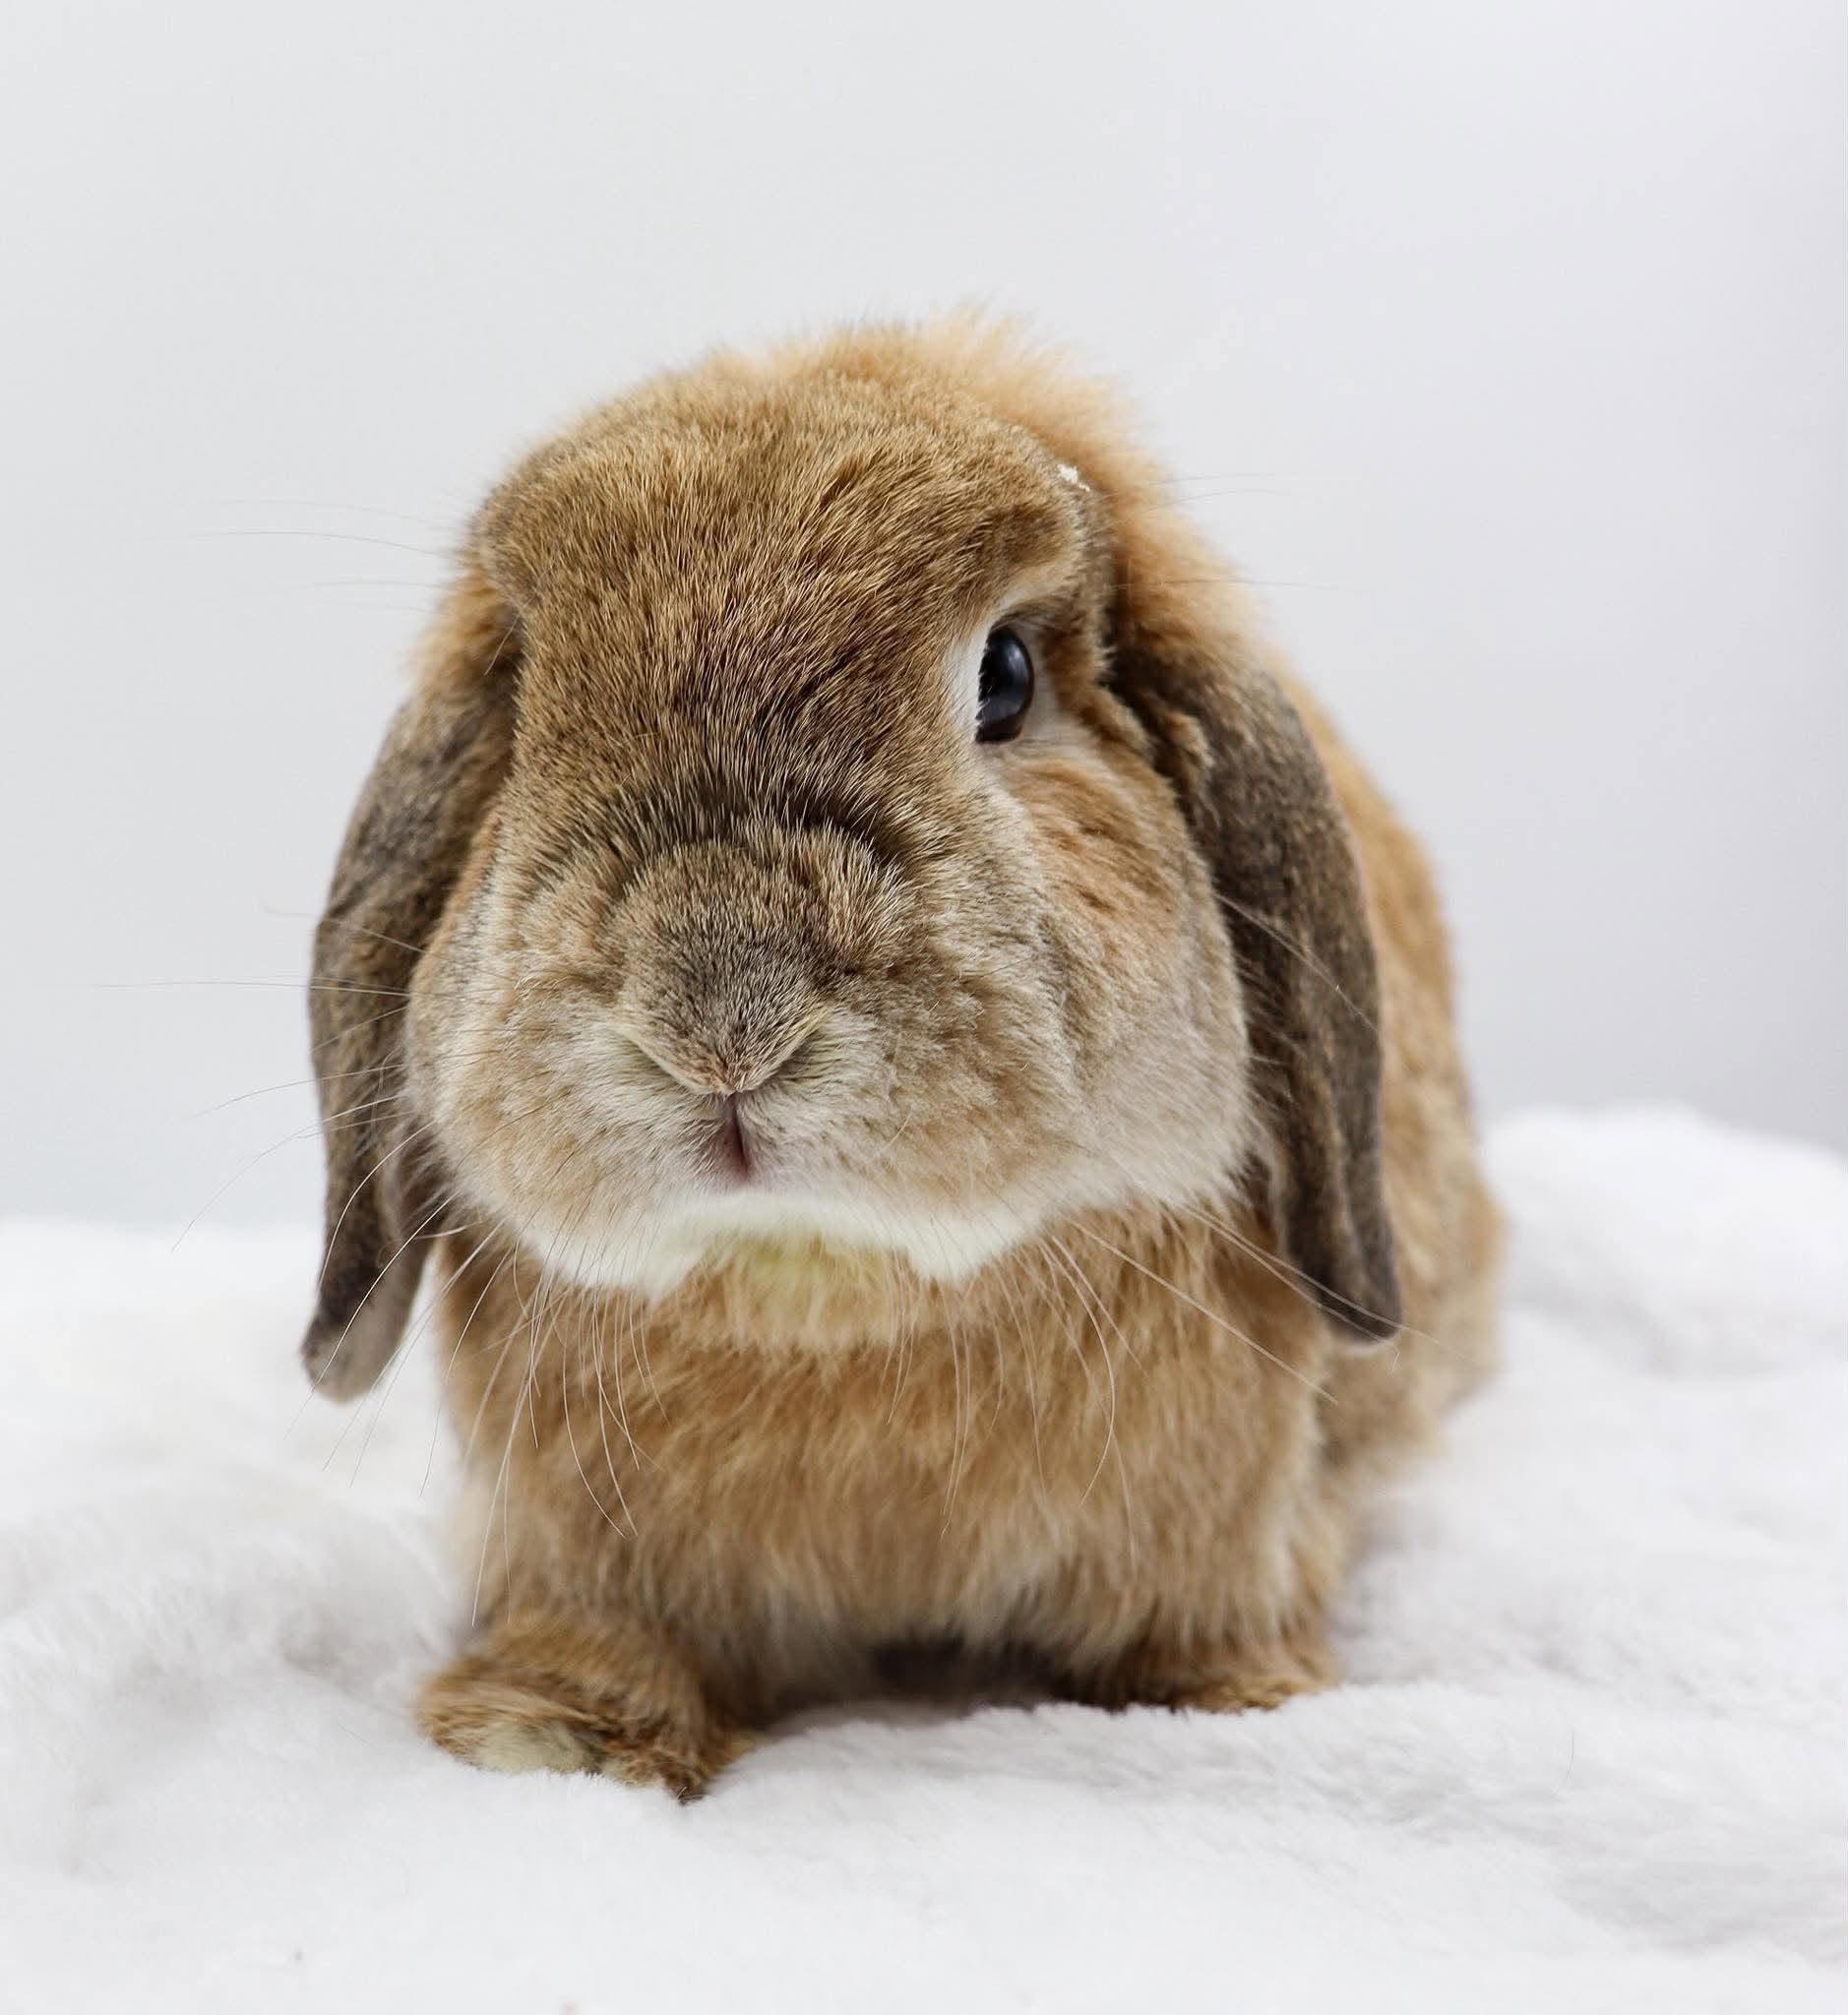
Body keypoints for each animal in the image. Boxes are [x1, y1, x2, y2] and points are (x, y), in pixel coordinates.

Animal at [300, 319, 1502, 1796]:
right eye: (522, 698)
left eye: (1005, 678)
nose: (720, 1021)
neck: (829, 1295)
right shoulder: (572, 1537)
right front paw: (547, 1735)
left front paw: (1229, 1704)